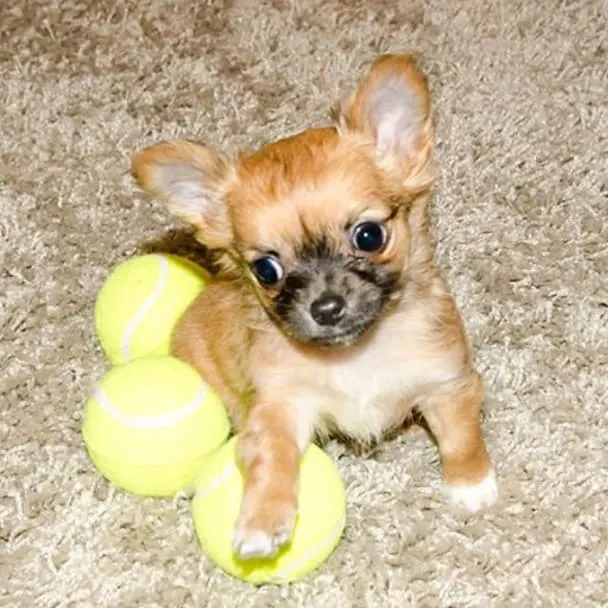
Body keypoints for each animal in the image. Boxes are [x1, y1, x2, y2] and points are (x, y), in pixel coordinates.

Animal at [131, 54, 496, 560]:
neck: (358, 355)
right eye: (266, 270)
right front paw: (262, 519)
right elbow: (272, 457)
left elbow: (461, 436)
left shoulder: (447, 383)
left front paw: (471, 484)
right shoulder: (281, 404)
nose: (325, 307)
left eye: (369, 236)